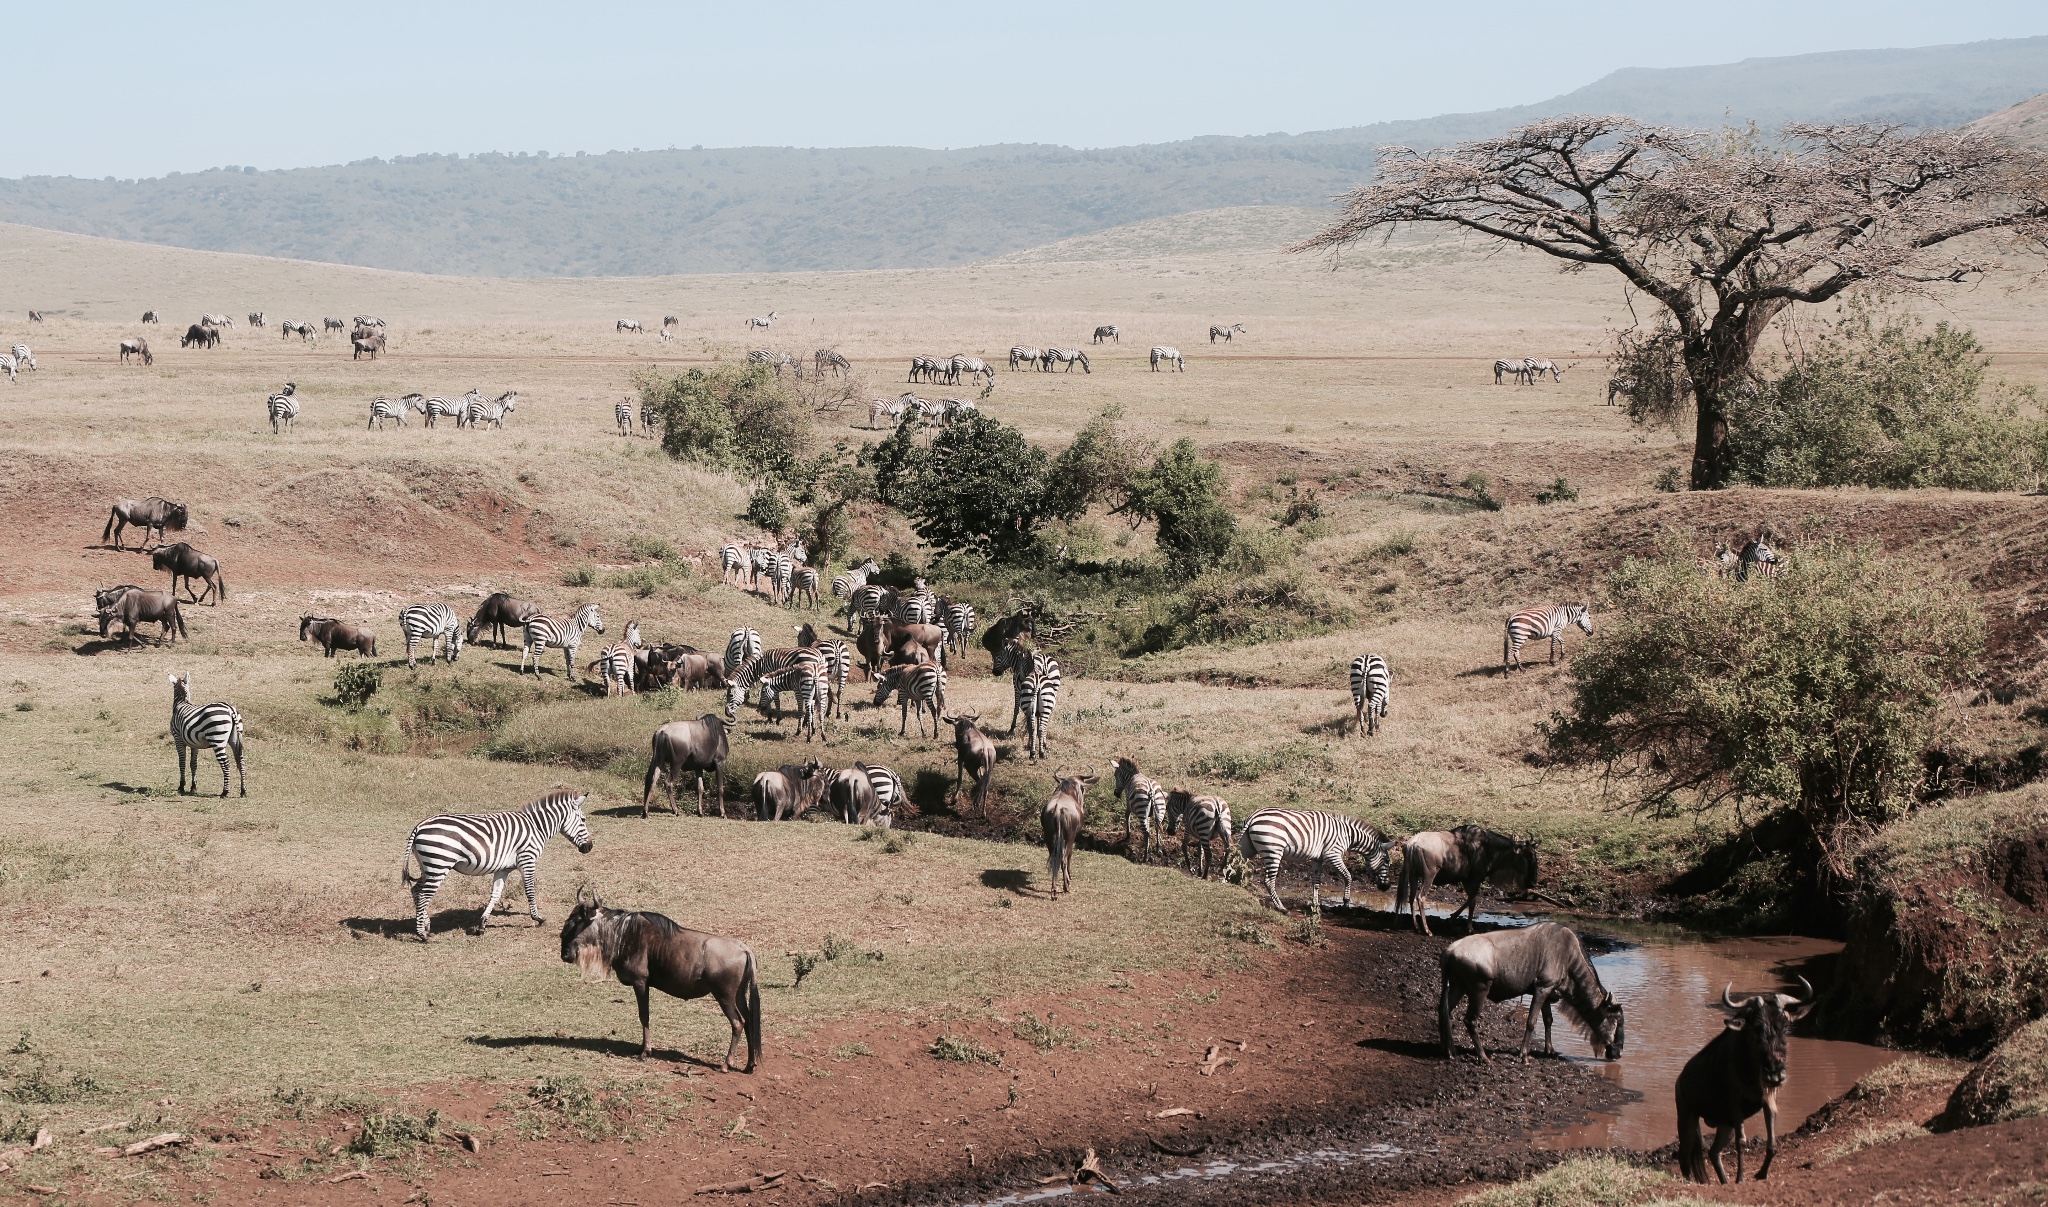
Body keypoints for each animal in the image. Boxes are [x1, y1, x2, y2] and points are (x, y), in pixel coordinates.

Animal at [397, 786, 593, 946]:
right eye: (583, 820)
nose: (590, 847)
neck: (536, 827)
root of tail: (419, 826)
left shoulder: (503, 869)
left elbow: (495, 895)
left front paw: (482, 925)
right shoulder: (527, 859)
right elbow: (530, 891)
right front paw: (538, 918)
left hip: (427, 867)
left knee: (416, 890)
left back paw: (426, 926)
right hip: (439, 864)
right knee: (424, 895)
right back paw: (422, 934)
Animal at [1228, 803, 1392, 909]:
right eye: (1387, 861)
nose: (1387, 887)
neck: (1348, 835)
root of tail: (1254, 815)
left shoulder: (1317, 859)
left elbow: (1316, 882)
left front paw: (1315, 904)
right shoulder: (1333, 854)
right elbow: (1348, 876)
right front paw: (1346, 901)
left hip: (1247, 847)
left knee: (1236, 867)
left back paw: (1235, 890)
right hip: (1273, 850)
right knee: (1268, 880)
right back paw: (1281, 908)